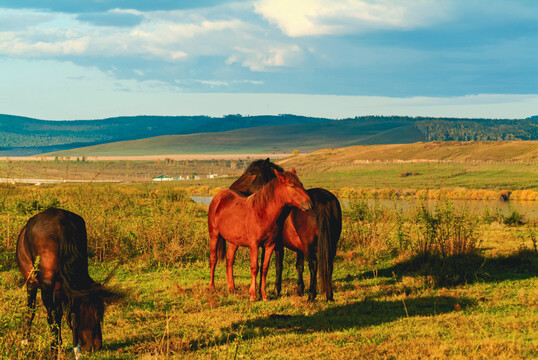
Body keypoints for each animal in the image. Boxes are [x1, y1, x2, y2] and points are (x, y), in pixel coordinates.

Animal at [16, 208, 120, 360]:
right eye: (96, 314)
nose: (96, 346)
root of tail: (62, 220)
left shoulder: (33, 283)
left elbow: (32, 312)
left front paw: (26, 343)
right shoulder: (55, 287)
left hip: (47, 284)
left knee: (51, 314)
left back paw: (55, 349)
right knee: (64, 313)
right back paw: (71, 349)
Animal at [207, 169, 312, 300]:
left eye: (301, 184)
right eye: (292, 186)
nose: (309, 204)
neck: (262, 213)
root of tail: (218, 197)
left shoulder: (269, 245)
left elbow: (264, 268)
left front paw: (264, 295)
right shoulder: (254, 245)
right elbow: (254, 268)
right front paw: (253, 295)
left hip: (234, 241)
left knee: (229, 260)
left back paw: (231, 288)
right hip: (214, 235)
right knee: (213, 259)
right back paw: (211, 287)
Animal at [229, 159, 340, 302]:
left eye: (251, 173)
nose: (232, 188)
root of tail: (323, 199)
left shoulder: (276, 245)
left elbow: (277, 265)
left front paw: (274, 290)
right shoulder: (299, 248)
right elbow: (299, 266)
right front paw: (299, 289)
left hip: (309, 244)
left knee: (314, 264)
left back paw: (311, 295)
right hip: (331, 244)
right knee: (329, 264)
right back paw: (329, 296)